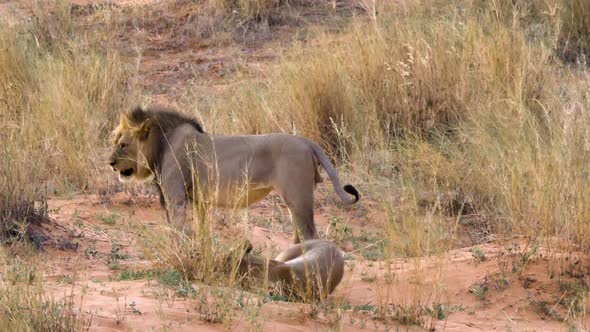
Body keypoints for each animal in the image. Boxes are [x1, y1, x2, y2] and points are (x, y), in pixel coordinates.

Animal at [109, 106, 364, 244]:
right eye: (115, 142)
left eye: (123, 145)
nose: (110, 163)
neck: (161, 144)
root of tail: (307, 141)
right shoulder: (200, 201)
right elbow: (202, 231)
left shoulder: (176, 198)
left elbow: (178, 231)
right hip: (295, 200)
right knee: (299, 236)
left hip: (298, 196)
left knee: (309, 236)